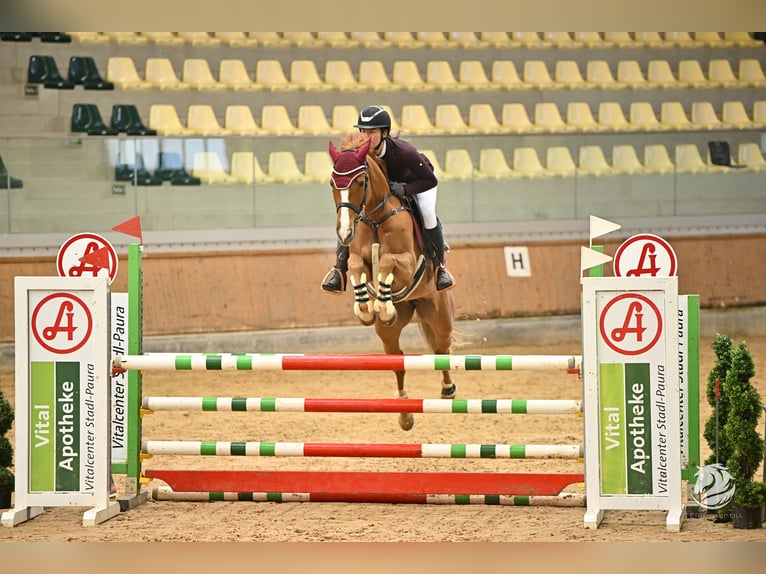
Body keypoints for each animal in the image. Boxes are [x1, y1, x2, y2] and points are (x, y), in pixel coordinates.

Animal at [328, 131, 456, 430]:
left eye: (360, 182)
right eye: (332, 183)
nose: (344, 232)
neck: (375, 217)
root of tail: (416, 304)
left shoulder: (408, 263)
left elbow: (387, 262)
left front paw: (381, 305)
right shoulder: (357, 257)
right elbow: (354, 265)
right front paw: (366, 308)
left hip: (438, 313)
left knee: (441, 347)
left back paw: (447, 390)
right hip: (389, 332)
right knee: (397, 359)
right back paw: (404, 413)